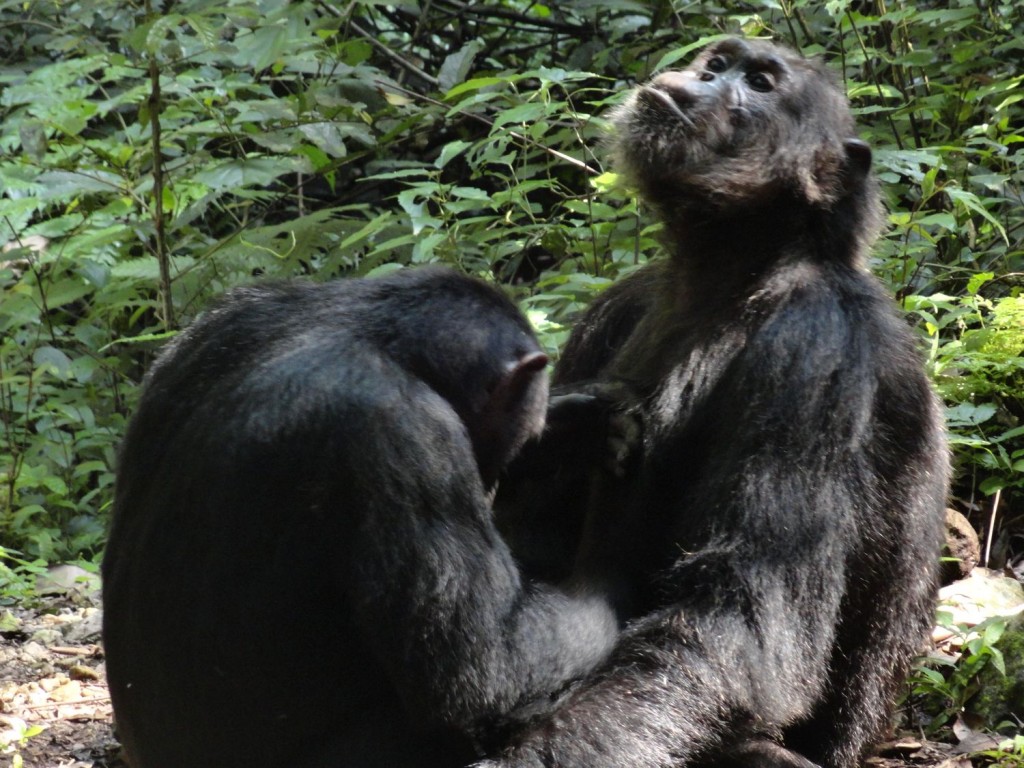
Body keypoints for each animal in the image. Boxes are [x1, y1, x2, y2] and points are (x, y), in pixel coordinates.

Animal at [483, 36, 946, 768]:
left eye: (758, 83)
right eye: (716, 63)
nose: (697, 80)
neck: (732, 265)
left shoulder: (815, 353)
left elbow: (736, 618)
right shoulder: (614, 304)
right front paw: (571, 429)